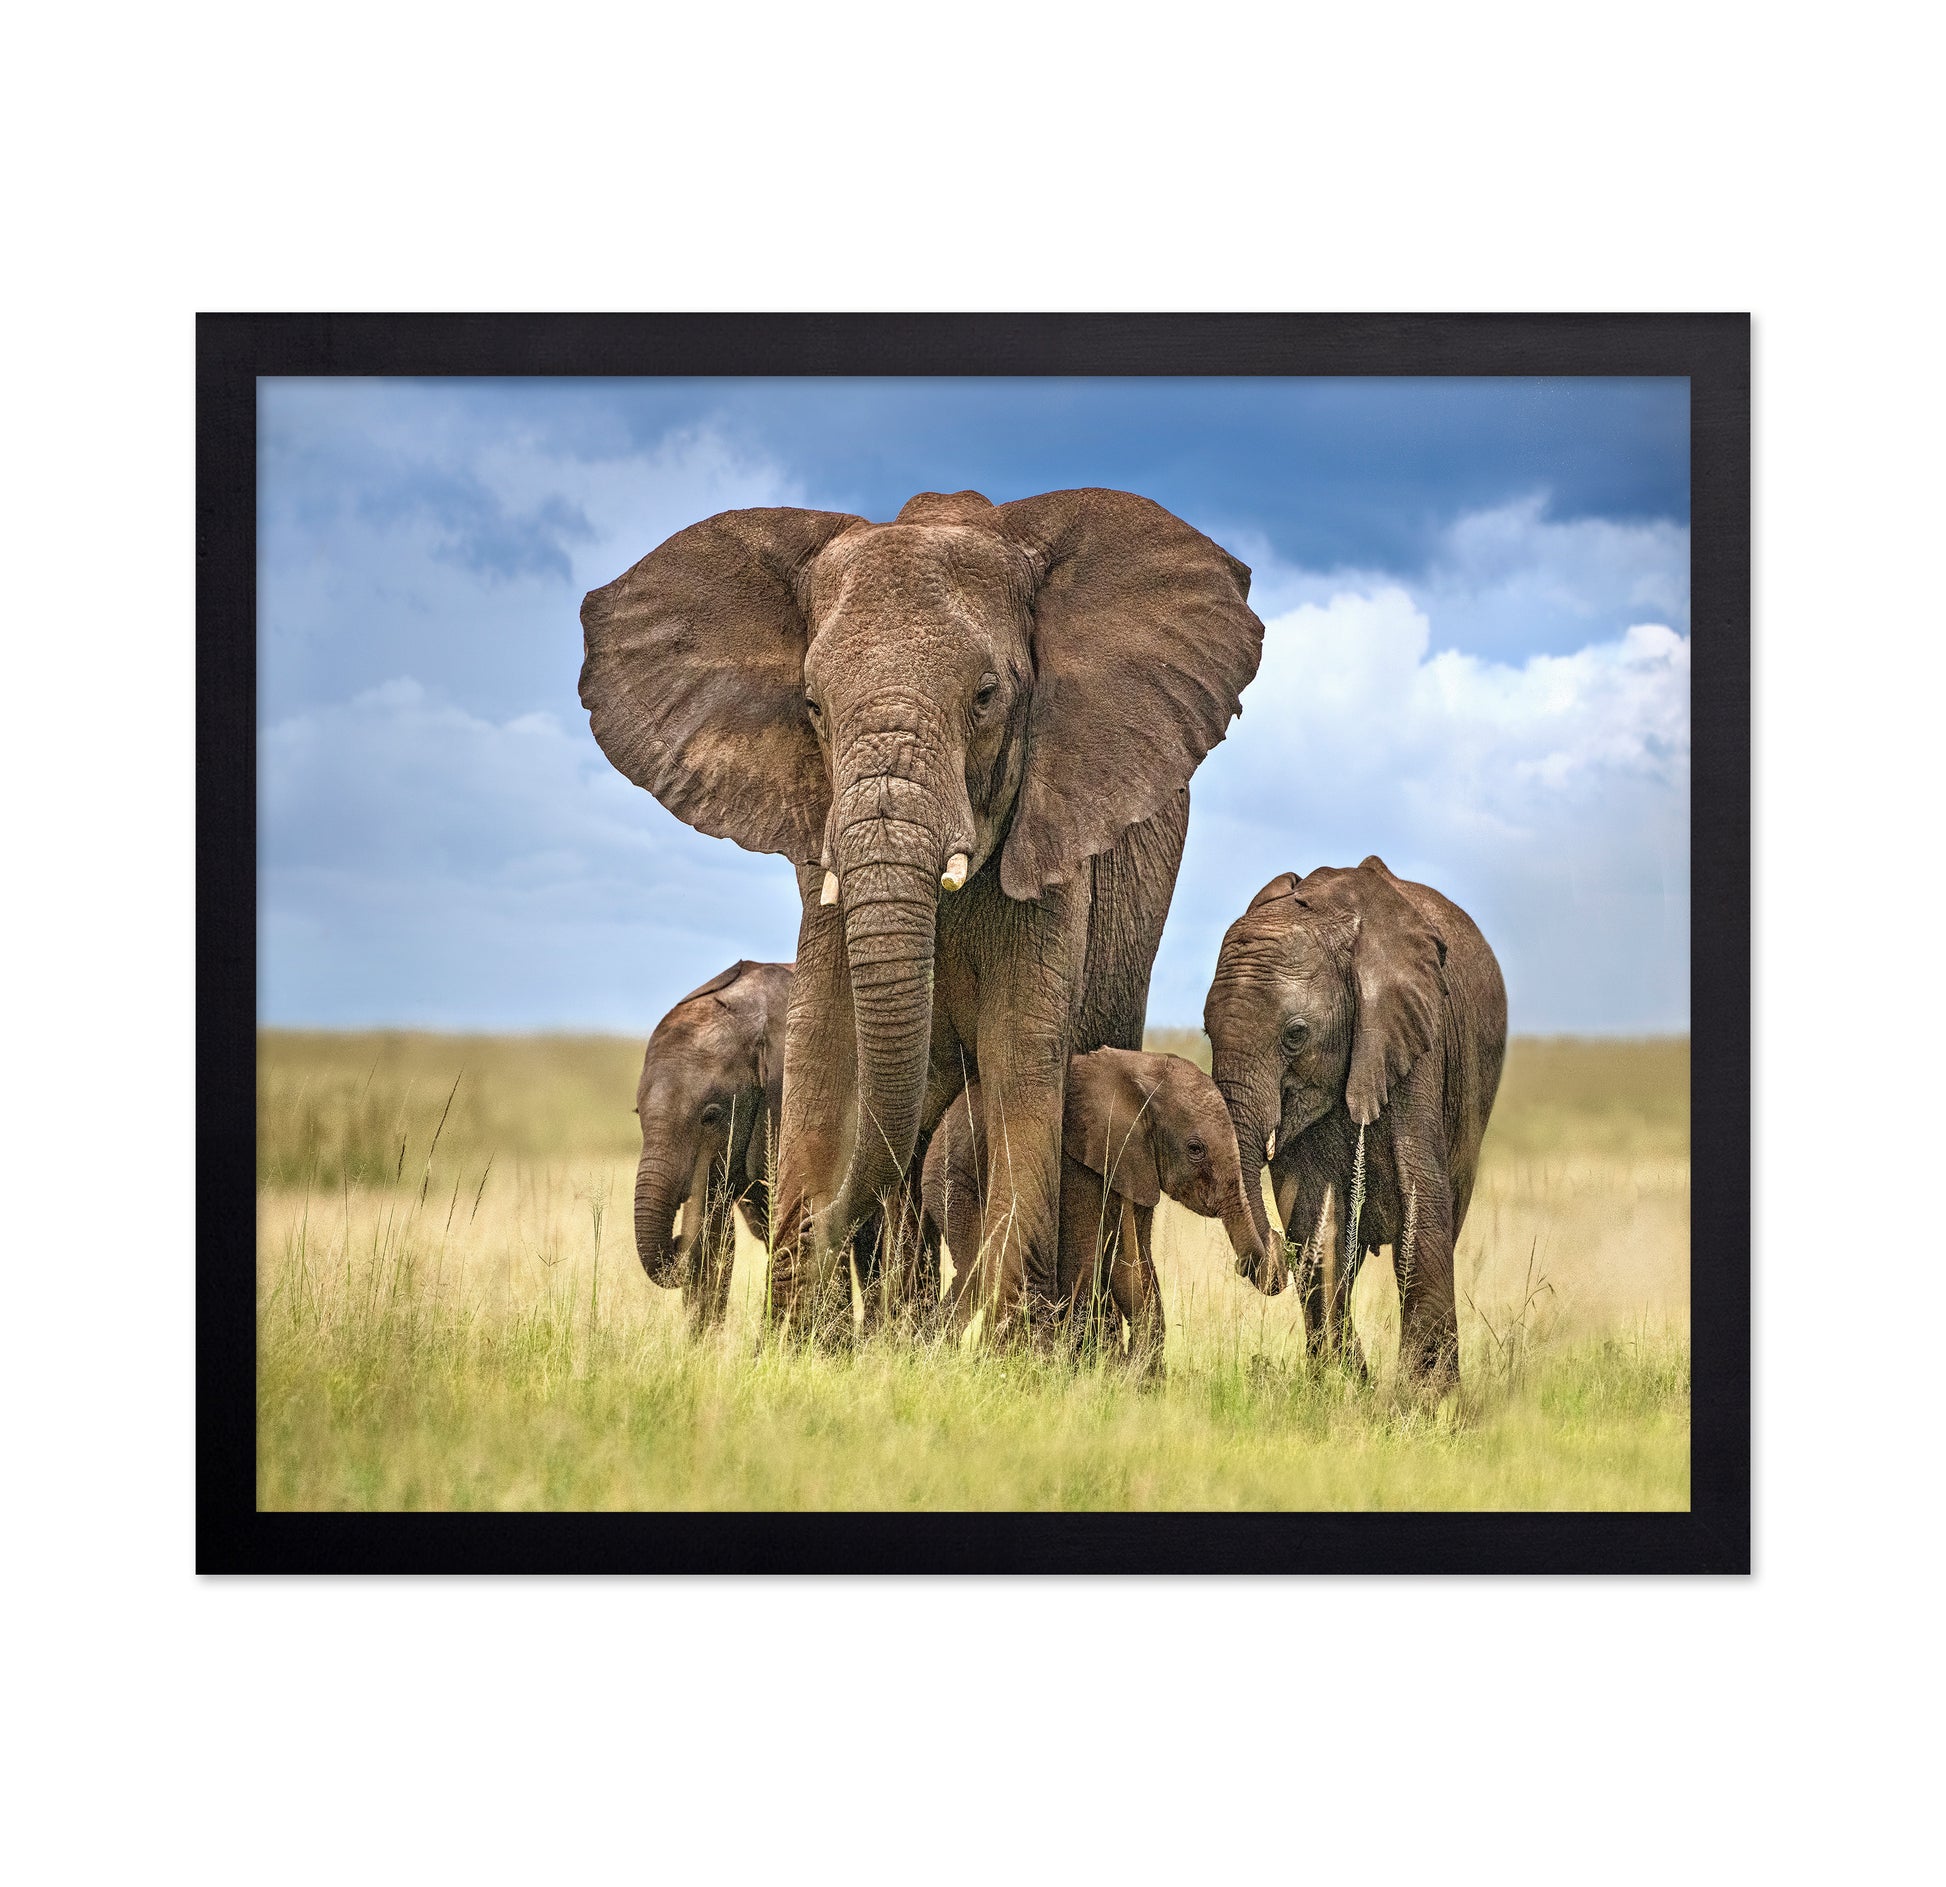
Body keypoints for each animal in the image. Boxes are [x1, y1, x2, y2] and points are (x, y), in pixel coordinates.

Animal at [922, 1047, 1273, 1374]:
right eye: (1195, 1149)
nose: (1243, 1265)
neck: (1141, 1074)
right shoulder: (1077, 1161)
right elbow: (1085, 1258)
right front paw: (1091, 1369)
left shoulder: (1136, 1162)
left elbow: (1131, 1263)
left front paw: (1136, 1378)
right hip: (952, 1183)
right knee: (976, 1268)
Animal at [1203, 858, 1507, 1390]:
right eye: (1205, 1031)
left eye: (1295, 1035)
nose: (1271, 1253)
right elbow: (1314, 1220)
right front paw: (1343, 1385)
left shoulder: (1414, 1038)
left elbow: (1419, 1200)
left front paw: (1427, 1396)